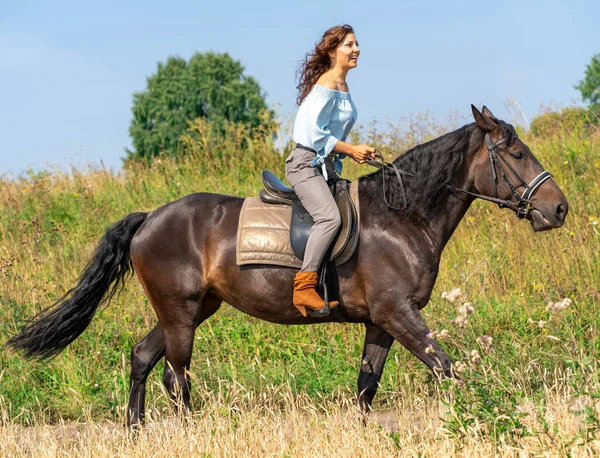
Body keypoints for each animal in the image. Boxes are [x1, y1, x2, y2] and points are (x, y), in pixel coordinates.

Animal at [8, 106, 568, 426]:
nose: (559, 209)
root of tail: (149, 218)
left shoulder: (381, 322)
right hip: (181, 312)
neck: (402, 215)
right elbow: (449, 369)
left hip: (192, 309)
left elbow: (366, 389)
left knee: (144, 358)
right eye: (517, 152)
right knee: (176, 374)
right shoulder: (399, 314)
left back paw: (136, 429)